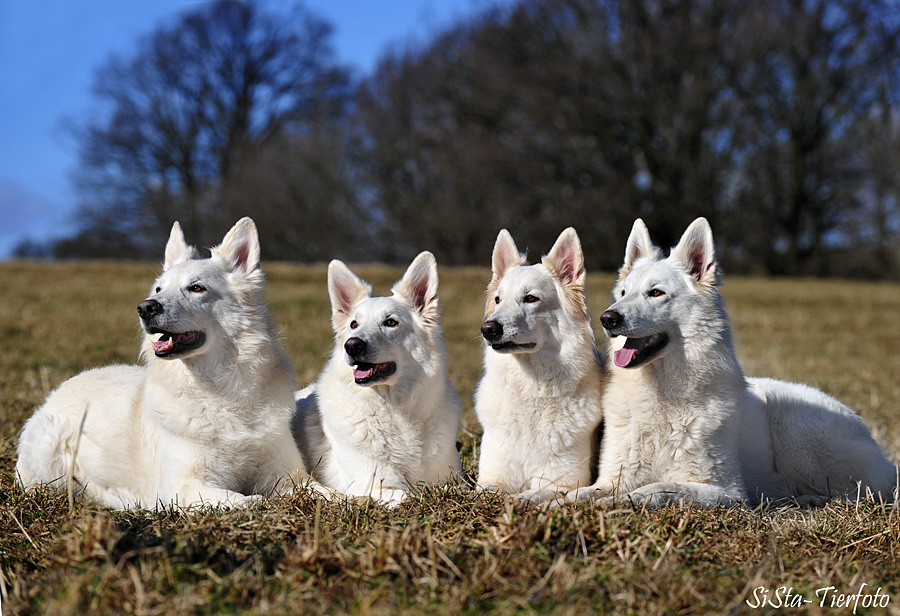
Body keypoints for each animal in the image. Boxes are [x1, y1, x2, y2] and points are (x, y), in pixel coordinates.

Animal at [14, 219, 312, 508]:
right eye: (158, 289)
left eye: (196, 288)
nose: (145, 307)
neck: (222, 390)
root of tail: (59, 389)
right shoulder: (183, 488)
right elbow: (248, 501)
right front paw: (259, 503)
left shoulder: (290, 476)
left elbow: (318, 492)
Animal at [294, 251, 464, 506]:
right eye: (354, 324)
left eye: (390, 322)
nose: (352, 345)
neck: (394, 410)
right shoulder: (374, 485)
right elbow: (411, 495)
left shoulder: (454, 478)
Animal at [474, 229, 608, 502]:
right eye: (498, 300)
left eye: (531, 298)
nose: (488, 329)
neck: (532, 387)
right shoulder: (491, 478)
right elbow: (485, 491)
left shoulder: (563, 483)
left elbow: (530, 496)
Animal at [572, 219, 896, 508]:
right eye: (623, 293)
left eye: (656, 293)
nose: (607, 318)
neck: (662, 394)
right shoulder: (614, 477)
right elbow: (587, 491)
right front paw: (567, 500)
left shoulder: (726, 492)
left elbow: (658, 489)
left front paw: (625, 501)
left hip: (794, 433)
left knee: (860, 492)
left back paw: (808, 498)